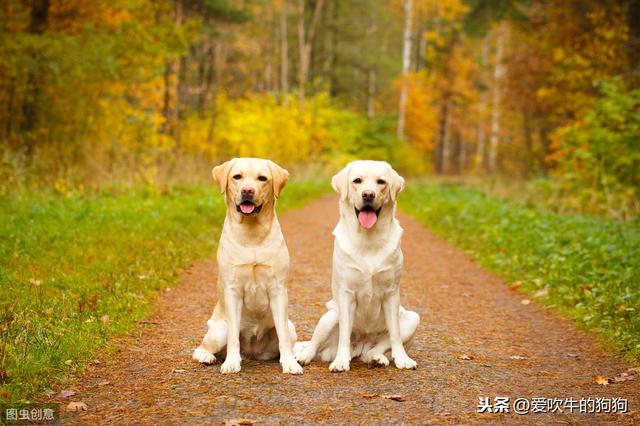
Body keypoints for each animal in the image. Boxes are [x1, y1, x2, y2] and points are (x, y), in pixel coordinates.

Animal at [192, 156, 302, 372]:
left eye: (262, 178)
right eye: (237, 177)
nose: (247, 191)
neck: (252, 236)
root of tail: (253, 352)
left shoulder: (278, 290)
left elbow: (283, 338)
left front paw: (290, 364)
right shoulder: (233, 290)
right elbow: (234, 337)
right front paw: (231, 363)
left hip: (291, 326)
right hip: (219, 329)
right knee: (201, 347)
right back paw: (207, 357)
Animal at [294, 161, 420, 372]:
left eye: (381, 182)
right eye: (357, 181)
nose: (368, 194)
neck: (369, 239)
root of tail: (361, 346)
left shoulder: (391, 293)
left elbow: (394, 334)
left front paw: (403, 359)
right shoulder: (346, 294)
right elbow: (344, 333)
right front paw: (340, 361)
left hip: (412, 319)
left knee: (377, 348)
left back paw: (377, 358)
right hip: (330, 317)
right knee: (314, 344)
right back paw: (304, 356)